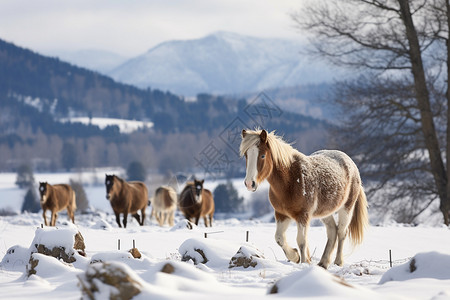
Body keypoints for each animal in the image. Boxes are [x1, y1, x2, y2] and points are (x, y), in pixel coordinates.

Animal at [241, 129, 368, 270]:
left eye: (262, 155)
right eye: (246, 155)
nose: (249, 183)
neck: (290, 180)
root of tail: (351, 163)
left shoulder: (303, 215)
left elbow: (301, 241)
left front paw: (303, 262)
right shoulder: (281, 214)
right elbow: (279, 238)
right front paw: (295, 256)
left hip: (346, 208)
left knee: (341, 232)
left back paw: (338, 262)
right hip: (325, 213)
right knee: (332, 231)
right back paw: (323, 263)